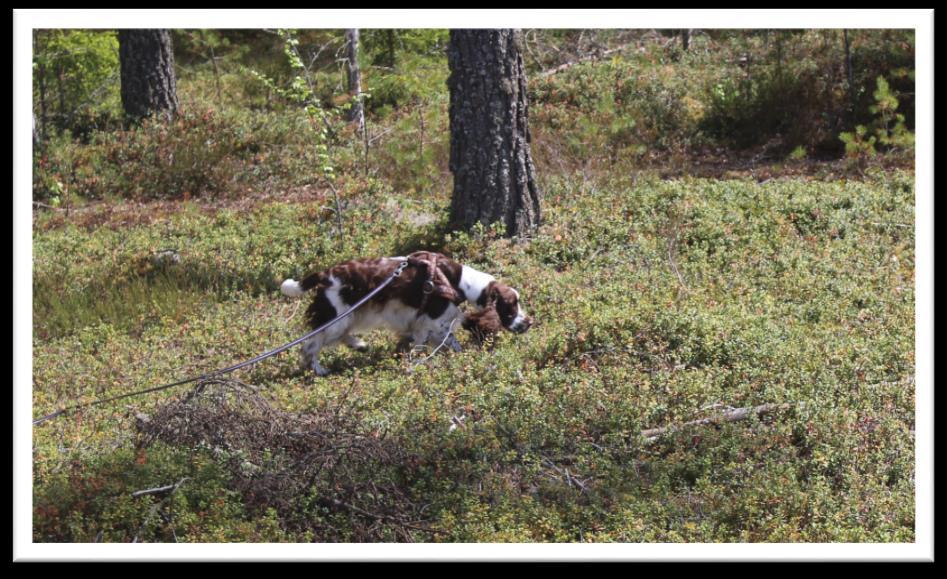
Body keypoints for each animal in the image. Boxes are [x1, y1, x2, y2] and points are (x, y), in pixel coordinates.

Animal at [282, 250, 532, 376]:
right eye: (512, 306)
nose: (529, 323)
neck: (459, 283)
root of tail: (324, 274)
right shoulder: (435, 322)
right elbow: (451, 344)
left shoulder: (421, 325)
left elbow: (420, 343)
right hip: (337, 318)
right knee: (311, 345)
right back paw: (319, 369)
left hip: (350, 316)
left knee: (338, 337)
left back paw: (360, 345)